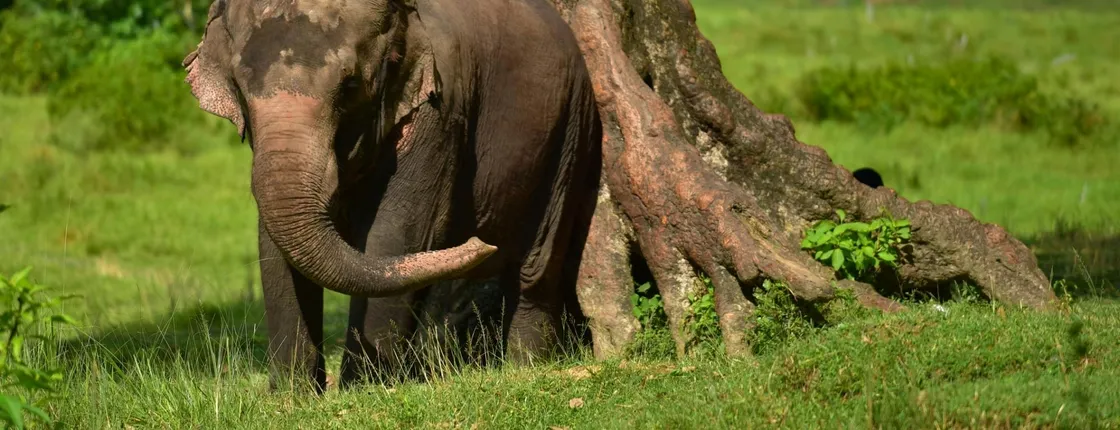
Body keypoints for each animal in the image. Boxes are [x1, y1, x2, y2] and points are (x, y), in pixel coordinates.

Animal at [182, 0, 602, 391]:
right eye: (239, 88)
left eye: (350, 87)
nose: (481, 243)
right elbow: (273, 246)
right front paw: (292, 398)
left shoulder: (440, 110)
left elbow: (394, 233)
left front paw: (363, 391)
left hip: (572, 129)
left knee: (536, 269)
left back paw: (524, 367)